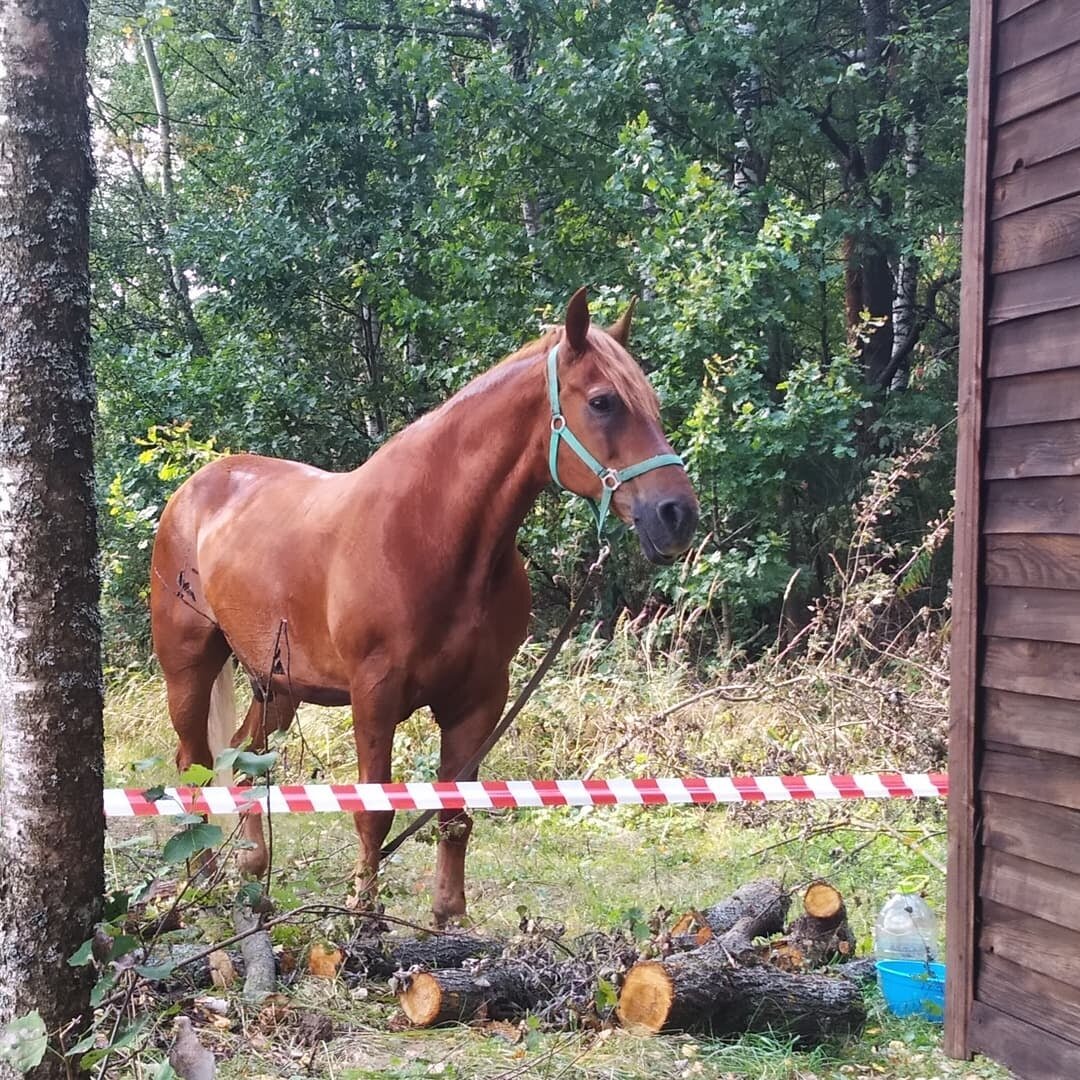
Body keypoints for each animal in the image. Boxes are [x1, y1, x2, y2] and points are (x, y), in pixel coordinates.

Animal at [152, 287, 699, 920]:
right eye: (604, 402)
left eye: (651, 402)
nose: (677, 515)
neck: (432, 535)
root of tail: (194, 490)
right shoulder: (375, 695)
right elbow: (374, 810)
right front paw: (362, 919)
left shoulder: (480, 700)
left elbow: (454, 812)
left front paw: (447, 919)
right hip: (189, 668)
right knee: (192, 764)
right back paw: (200, 878)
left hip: (278, 682)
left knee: (244, 759)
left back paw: (251, 872)